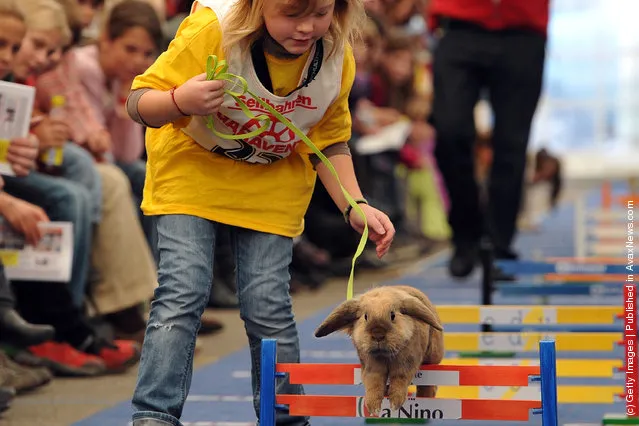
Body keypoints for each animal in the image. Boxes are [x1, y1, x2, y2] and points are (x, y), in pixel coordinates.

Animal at [312, 282, 442, 416]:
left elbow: (400, 379)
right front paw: (373, 407)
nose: (378, 335)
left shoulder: (406, 363)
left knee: (427, 387)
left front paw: (395, 404)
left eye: (392, 315)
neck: (384, 355)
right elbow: (373, 383)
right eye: (365, 316)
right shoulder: (371, 367)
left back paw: (426, 397)